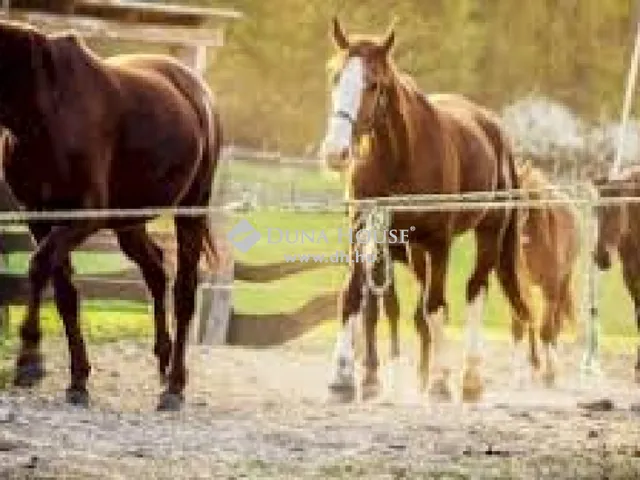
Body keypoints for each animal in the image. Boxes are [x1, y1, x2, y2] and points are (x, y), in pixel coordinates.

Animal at [322, 16, 532, 404]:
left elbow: (434, 306)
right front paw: (341, 380)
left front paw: (438, 383)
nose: (335, 152)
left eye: (374, 84)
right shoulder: (365, 231)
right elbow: (354, 296)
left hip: (488, 233)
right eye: (335, 77)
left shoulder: (438, 241)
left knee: (475, 291)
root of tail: (492, 127)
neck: (399, 159)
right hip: (414, 249)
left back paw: (470, 378)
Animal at [516, 160, 580, 386]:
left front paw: (550, 372)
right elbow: (526, 324)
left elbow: (546, 329)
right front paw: (528, 368)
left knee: (555, 322)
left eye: (523, 198)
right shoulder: (522, 284)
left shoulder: (551, 286)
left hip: (563, 282)